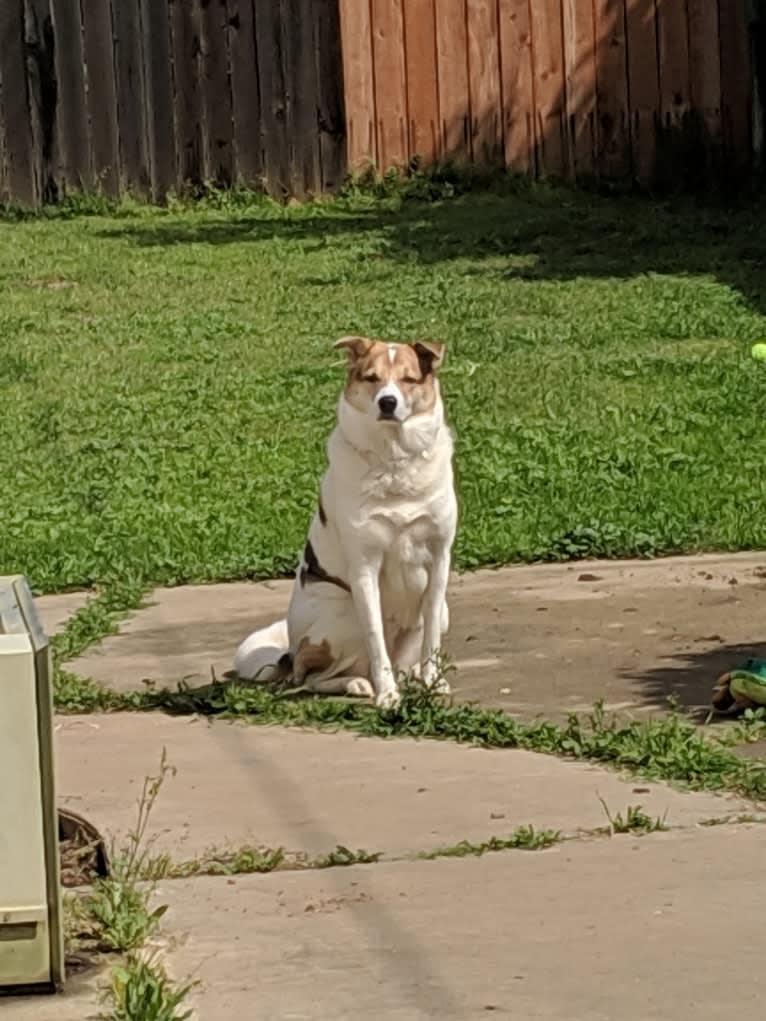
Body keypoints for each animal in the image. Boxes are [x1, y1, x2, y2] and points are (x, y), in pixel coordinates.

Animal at [233, 338, 459, 706]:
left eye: (408, 379)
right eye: (372, 377)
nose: (387, 402)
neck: (393, 460)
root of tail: (290, 652)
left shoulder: (440, 560)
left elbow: (431, 646)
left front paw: (433, 682)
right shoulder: (365, 568)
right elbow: (376, 639)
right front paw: (387, 695)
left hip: (442, 614)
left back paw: (408, 678)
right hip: (345, 616)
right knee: (309, 678)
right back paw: (358, 683)